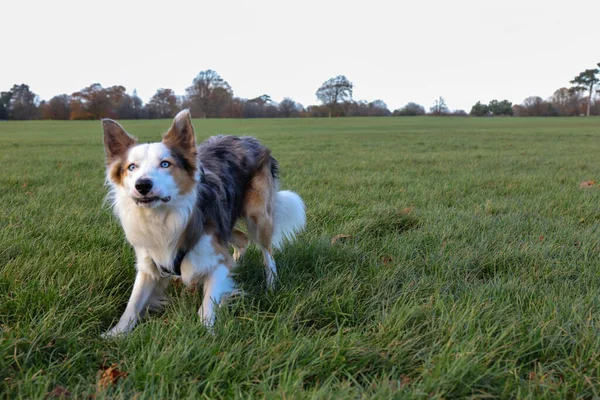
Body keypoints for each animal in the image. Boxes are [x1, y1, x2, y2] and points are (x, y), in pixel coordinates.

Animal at [102, 108, 304, 336]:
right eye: (132, 167)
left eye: (165, 164)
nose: (142, 185)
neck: (164, 218)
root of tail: (247, 139)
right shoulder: (149, 264)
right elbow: (134, 302)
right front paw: (115, 334)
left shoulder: (219, 262)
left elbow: (207, 305)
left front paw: (206, 332)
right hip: (225, 222)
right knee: (242, 239)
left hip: (258, 216)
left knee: (268, 254)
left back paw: (271, 285)